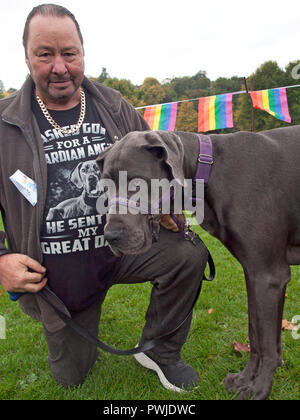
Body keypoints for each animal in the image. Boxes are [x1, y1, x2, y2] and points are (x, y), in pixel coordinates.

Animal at [96, 127, 300, 400]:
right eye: (105, 187)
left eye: (136, 182)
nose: (111, 236)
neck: (210, 169)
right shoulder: (253, 273)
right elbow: (255, 334)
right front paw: (245, 380)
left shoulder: (269, 276)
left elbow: (266, 343)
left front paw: (259, 389)